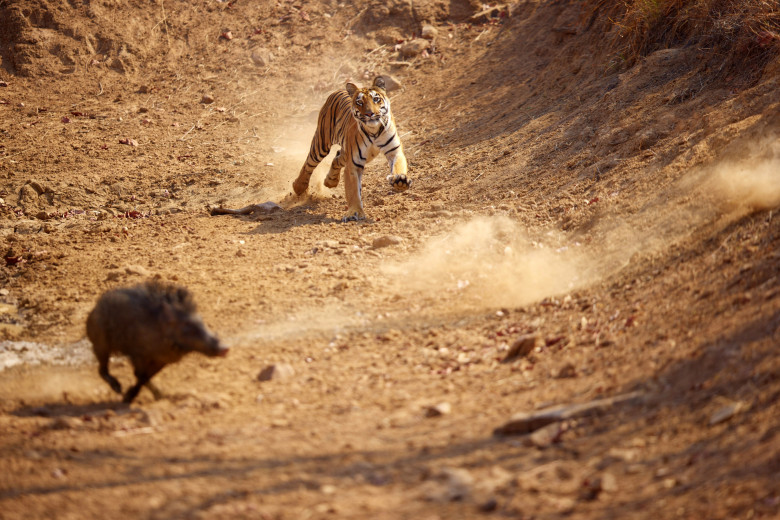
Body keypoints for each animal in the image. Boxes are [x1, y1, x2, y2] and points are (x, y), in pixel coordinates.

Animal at [292, 75, 412, 221]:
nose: (370, 114)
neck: (374, 131)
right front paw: (354, 212)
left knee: (337, 157)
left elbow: (398, 166)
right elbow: (353, 191)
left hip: (346, 152)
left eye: (376, 99)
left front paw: (400, 181)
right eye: (360, 102)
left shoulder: (394, 151)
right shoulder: (354, 163)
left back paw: (330, 181)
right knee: (308, 164)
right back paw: (298, 186)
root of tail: (338, 90)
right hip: (321, 143)